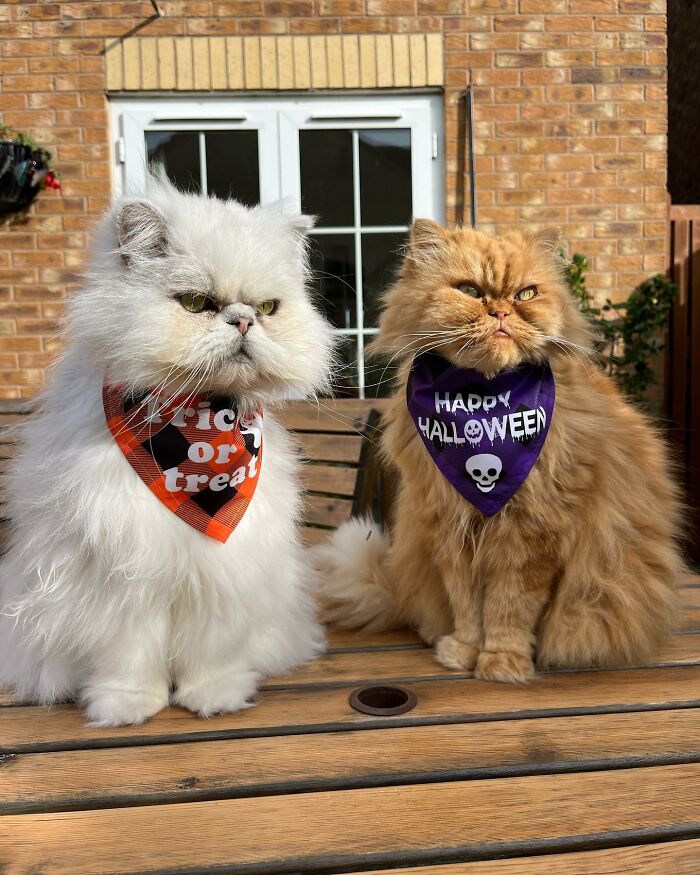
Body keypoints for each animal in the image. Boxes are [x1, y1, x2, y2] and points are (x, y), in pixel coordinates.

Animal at [0, 176, 334, 724]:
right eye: (196, 303)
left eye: (267, 309)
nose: (243, 321)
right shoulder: (126, 579)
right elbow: (130, 658)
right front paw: (127, 707)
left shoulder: (223, 574)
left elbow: (211, 656)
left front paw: (214, 698)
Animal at [316, 221, 684, 684]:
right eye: (470, 291)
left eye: (526, 294)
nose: (502, 312)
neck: (482, 397)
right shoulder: (450, 533)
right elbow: (467, 608)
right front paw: (464, 652)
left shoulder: (531, 536)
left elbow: (509, 609)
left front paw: (502, 663)